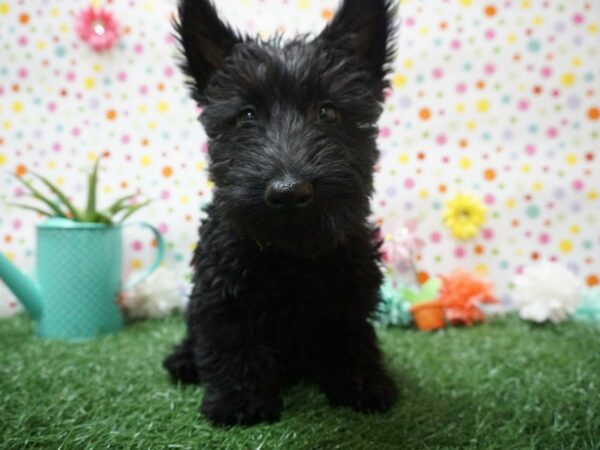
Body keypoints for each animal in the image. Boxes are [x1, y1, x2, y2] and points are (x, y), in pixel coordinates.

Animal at [164, 0, 398, 426]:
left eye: (328, 112)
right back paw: (183, 361)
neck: (291, 253)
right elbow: (231, 341)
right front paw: (239, 400)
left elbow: (353, 340)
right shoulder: (222, 295)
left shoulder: (351, 296)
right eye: (247, 116)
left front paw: (362, 385)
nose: (289, 192)